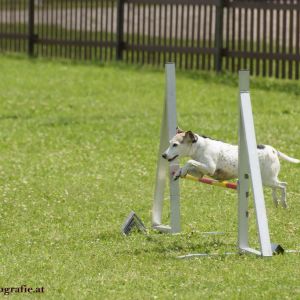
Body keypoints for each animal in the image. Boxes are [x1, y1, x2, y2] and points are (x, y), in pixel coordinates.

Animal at [164, 127, 300, 207]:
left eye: (175, 145)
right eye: (169, 143)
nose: (163, 155)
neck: (199, 147)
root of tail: (273, 150)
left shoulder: (209, 167)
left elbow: (189, 161)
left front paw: (182, 169)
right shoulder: (200, 173)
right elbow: (188, 166)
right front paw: (179, 172)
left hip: (267, 179)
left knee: (283, 185)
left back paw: (284, 203)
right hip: (267, 179)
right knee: (276, 187)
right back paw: (276, 201)